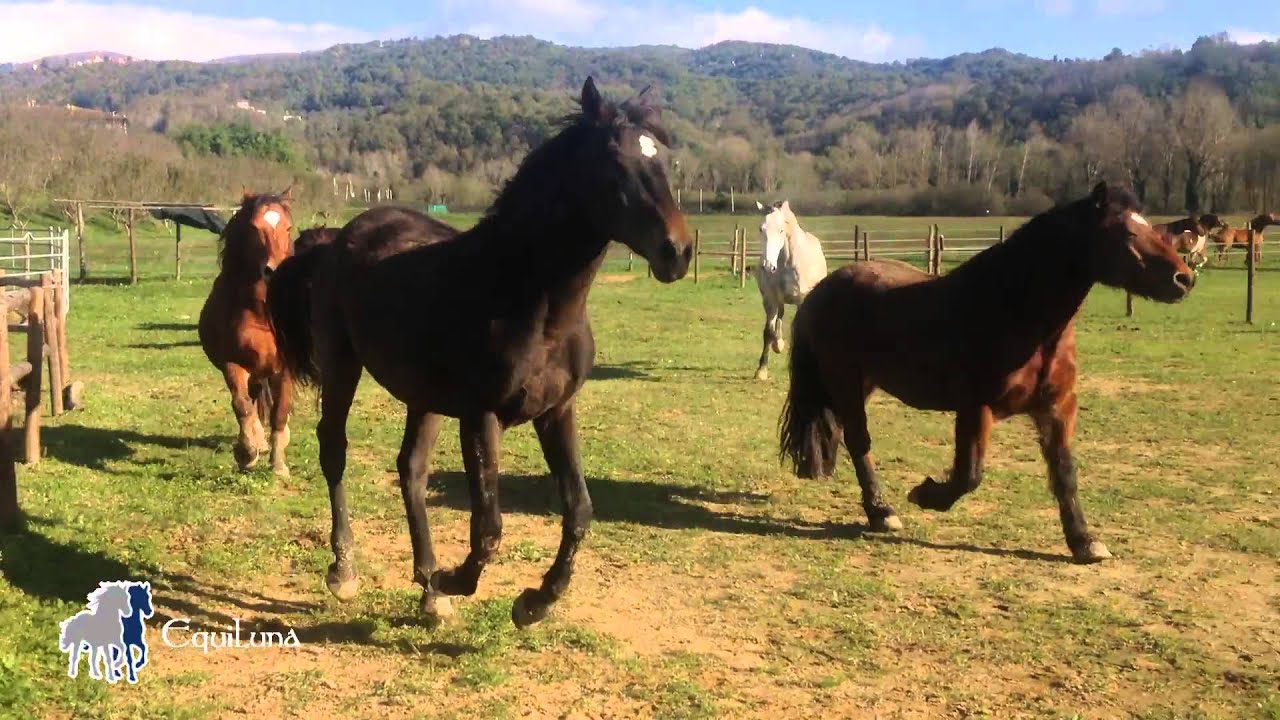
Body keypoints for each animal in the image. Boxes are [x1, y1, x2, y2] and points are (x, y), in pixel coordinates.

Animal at [198, 189, 296, 475]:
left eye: (288, 228)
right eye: (254, 228)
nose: (275, 270)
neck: (261, 313)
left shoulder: (285, 369)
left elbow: (280, 412)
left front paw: (278, 464)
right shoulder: (233, 364)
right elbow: (241, 406)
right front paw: (247, 453)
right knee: (251, 404)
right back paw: (257, 443)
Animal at [267, 78, 692, 628]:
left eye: (664, 158)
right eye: (614, 161)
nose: (677, 252)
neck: (522, 296)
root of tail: (335, 238)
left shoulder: (557, 411)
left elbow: (578, 510)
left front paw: (533, 602)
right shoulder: (481, 417)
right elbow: (488, 528)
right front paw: (459, 581)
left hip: (422, 396)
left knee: (411, 470)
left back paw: (429, 589)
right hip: (343, 365)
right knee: (334, 449)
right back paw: (347, 572)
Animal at [753, 200, 827, 381]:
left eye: (781, 230)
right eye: (761, 229)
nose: (768, 266)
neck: (786, 262)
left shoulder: (801, 300)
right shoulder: (771, 299)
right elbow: (768, 332)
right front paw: (761, 370)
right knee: (779, 316)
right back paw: (778, 344)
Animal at [778, 182, 1194, 564]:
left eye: (1155, 229)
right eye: (1126, 232)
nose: (1185, 279)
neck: (1016, 311)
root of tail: (824, 288)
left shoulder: (1057, 409)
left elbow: (1065, 475)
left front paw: (1084, 541)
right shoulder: (976, 408)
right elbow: (969, 475)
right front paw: (925, 495)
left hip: (861, 384)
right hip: (846, 381)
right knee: (859, 441)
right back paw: (882, 513)